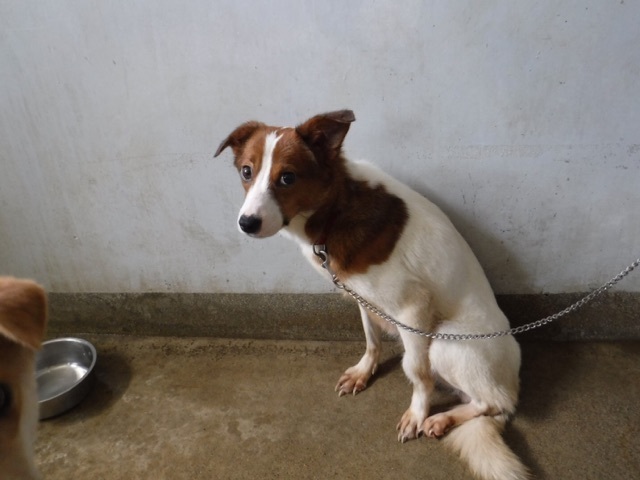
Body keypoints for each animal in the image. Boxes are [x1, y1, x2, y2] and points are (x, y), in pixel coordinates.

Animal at [218, 110, 528, 478]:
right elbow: (371, 339)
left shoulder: (412, 309)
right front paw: (363, 373)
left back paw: (440, 418)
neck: (337, 209)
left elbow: (418, 374)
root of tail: (511, 382)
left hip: (446, 341)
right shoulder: (364, 298)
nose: (246, 223)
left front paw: (416, 414)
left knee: (490, 402)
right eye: (246, 172)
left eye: (287, 177)